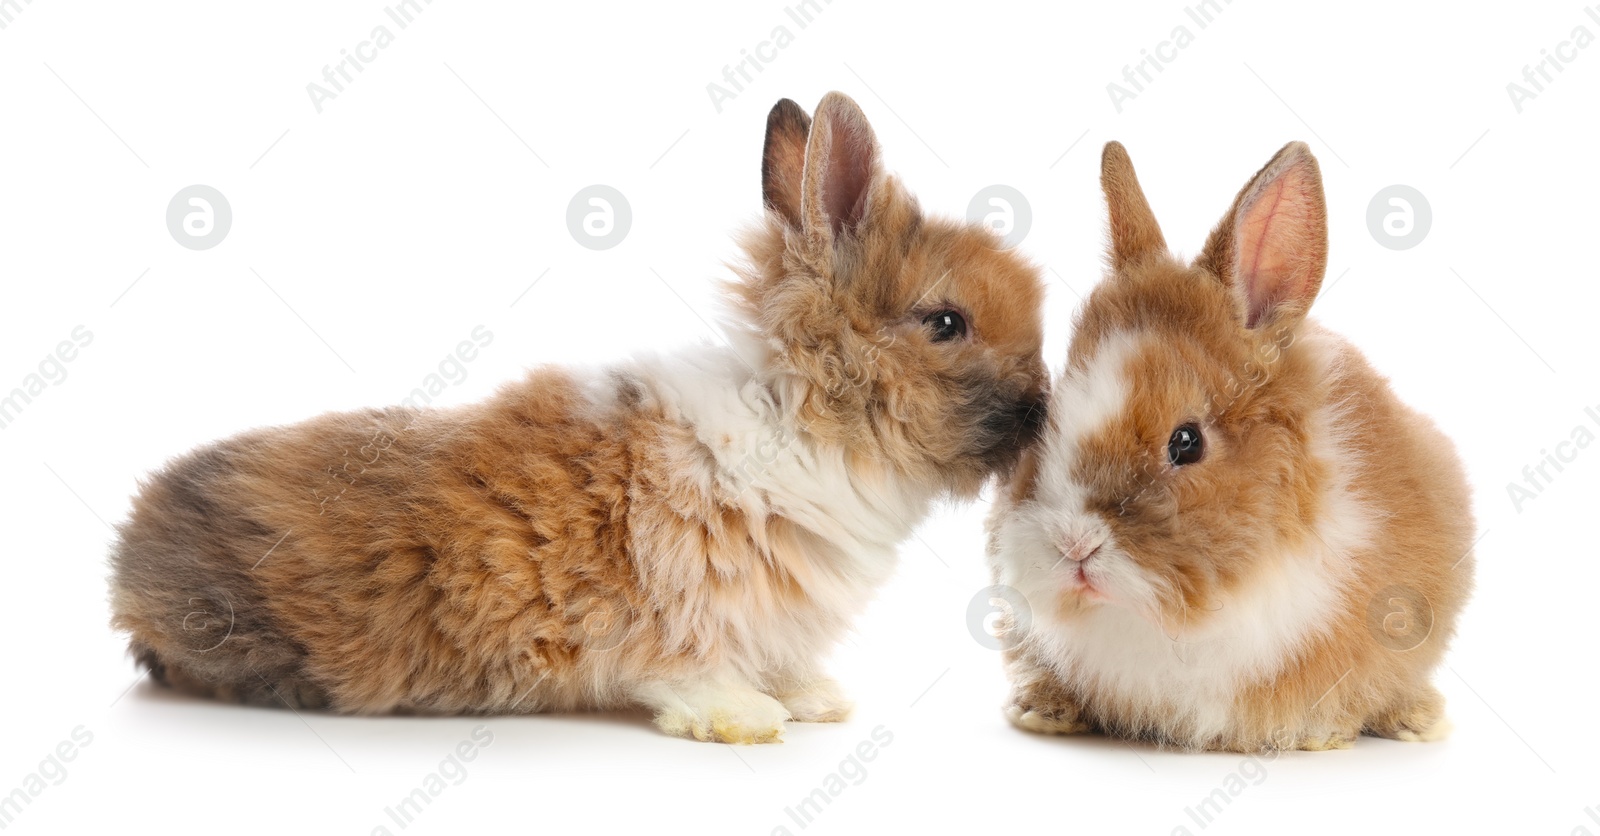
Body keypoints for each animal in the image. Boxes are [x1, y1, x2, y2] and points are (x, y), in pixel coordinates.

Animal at [109, 92, 1049, 743]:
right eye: (945, 323)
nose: (1041, 406)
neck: (804, 420)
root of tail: (127, 560)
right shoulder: (667, 608)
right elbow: (686, 669)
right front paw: (748, 719)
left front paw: (814, 700)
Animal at [985, 140, 1472, 752]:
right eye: (1046, 415)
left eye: (1186, 442)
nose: (1074, 545)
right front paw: (1040, 710)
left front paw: (1322, 734)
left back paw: (1419, 719)